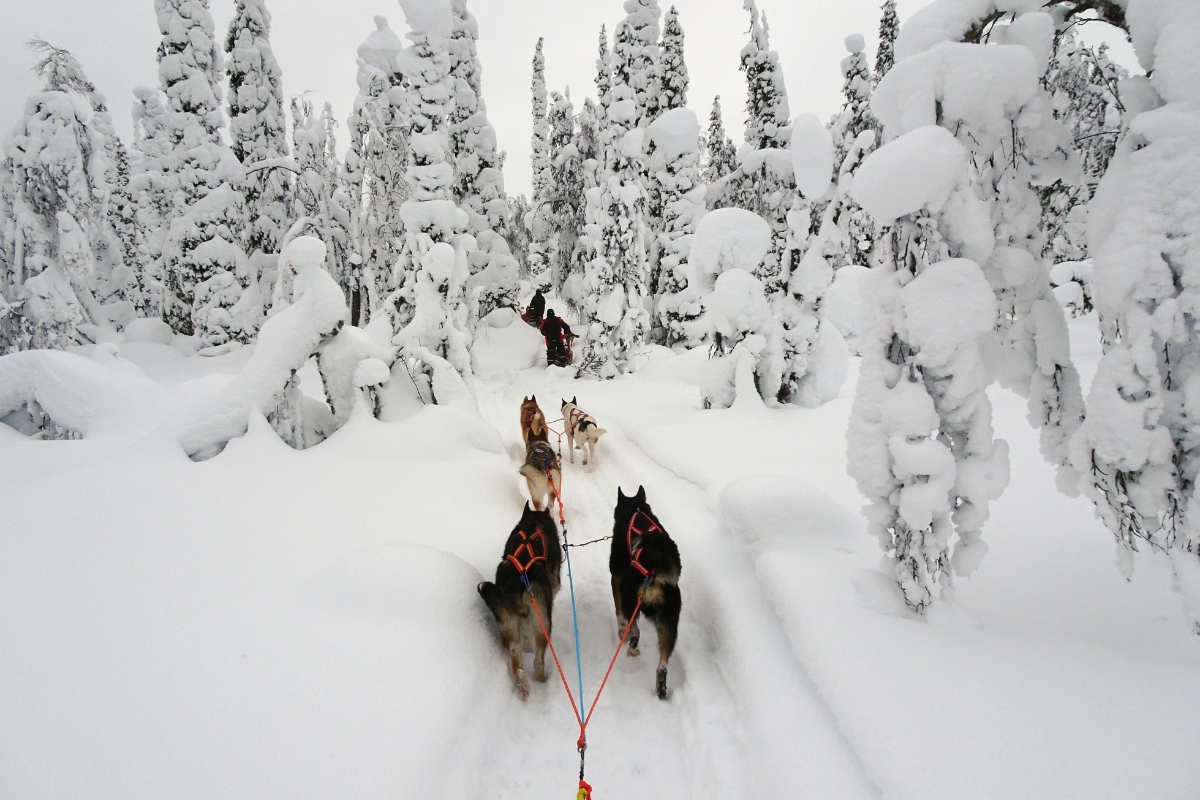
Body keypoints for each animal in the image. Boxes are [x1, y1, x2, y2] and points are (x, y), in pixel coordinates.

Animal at [477, 506, 561, 700]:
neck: (534, 521)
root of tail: (518, 581)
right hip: (543, 623)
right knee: (538, 660)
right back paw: (541, 676)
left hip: (506, 622)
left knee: (516, 654)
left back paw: (522, 684)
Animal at [614, 482, 681, 700]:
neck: (636, 509)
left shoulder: (615, 578)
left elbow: (618, 612)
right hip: (669, 625)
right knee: (662, 666)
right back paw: (661, 688)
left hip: (630, 599)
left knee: (635, 631)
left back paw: (631, 649)